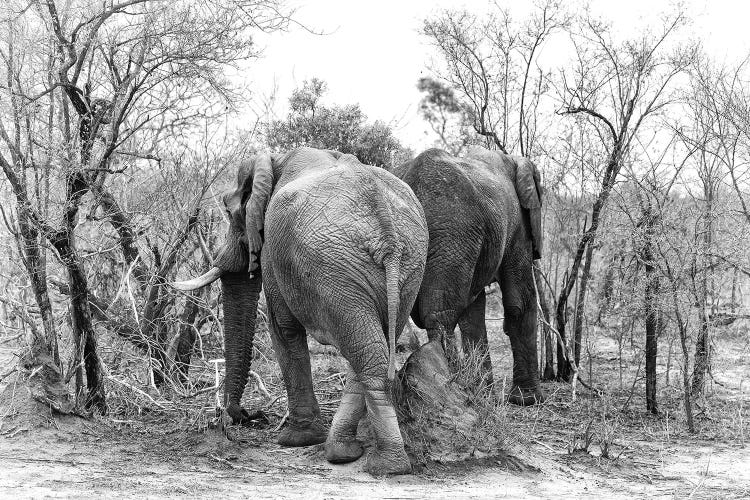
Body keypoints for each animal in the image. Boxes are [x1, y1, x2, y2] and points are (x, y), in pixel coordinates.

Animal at [173, 146, 426, 474]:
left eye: (229, 212)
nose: (249, 416)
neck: (275, 160)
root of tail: (387, 232)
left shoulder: (273, 250)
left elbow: (283, 328)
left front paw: (296, 440)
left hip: (335, 270)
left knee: (365, 353)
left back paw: (384, 466)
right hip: (405, 267)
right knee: (372, 348)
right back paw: (345, 453)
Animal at [394, 146, 548, 406]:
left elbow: (473, 313)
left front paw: (485, 394)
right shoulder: (517, 227)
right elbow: (520, 303)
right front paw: (528, 400)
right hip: (453, 230)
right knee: (440, 315)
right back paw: (451, 390)